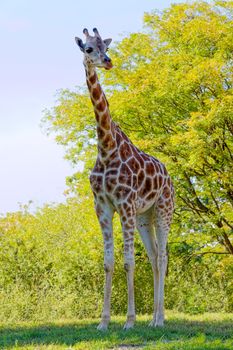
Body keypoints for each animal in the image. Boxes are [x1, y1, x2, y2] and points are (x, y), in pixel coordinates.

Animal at [75, 28, 174, 330]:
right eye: (88, 49)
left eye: (105, 47)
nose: (107, 61)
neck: (106, 148)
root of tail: (169, 177)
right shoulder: (103, 206)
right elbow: (108, 262)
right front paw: (103, 322)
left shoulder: (125, 205)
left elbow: (129, 262)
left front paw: (129, 321)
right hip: (145, 216)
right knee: (154, 256)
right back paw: (154, 318)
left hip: (164, 210)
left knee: (163, 256)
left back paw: (159, 320)